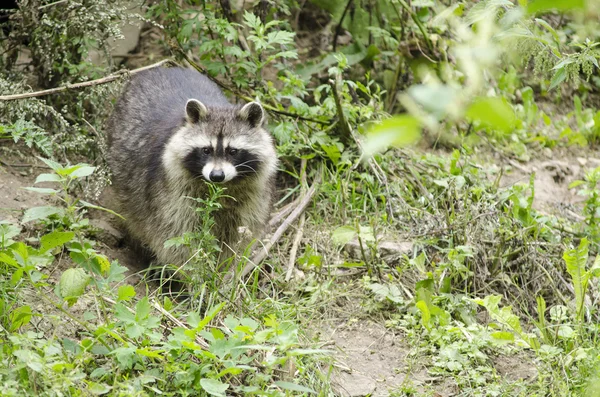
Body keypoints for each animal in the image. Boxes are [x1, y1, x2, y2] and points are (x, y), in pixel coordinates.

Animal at [106, 67, 278, 266]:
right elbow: (176, 234)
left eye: (233, 151)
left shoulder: (253, 194)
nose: (217, 176)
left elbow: (237, 236)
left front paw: (223, 269)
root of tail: (160, 69)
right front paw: (193, 269)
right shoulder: (171, 191)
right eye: (206, 150)